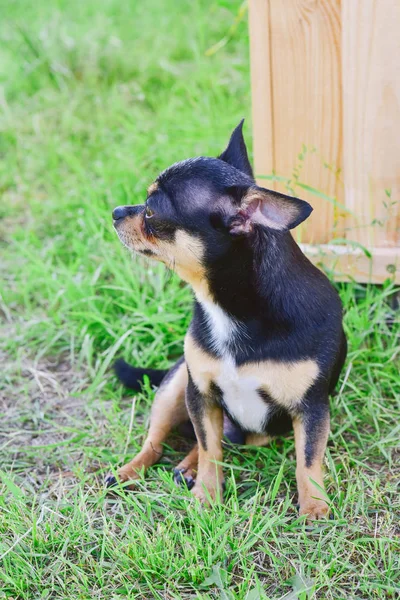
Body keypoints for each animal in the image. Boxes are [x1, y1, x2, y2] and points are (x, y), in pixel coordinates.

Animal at [107, 122, 346, 520]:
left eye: (151, 212)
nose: (116, 211)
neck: (228, 308)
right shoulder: (200, 393)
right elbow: (210, 449)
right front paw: (206, 496)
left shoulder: (311, 409)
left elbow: (308, 460)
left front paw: (314, 506)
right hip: (176, 384)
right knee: (159, 442)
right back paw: (131, 471)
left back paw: (184, 467)